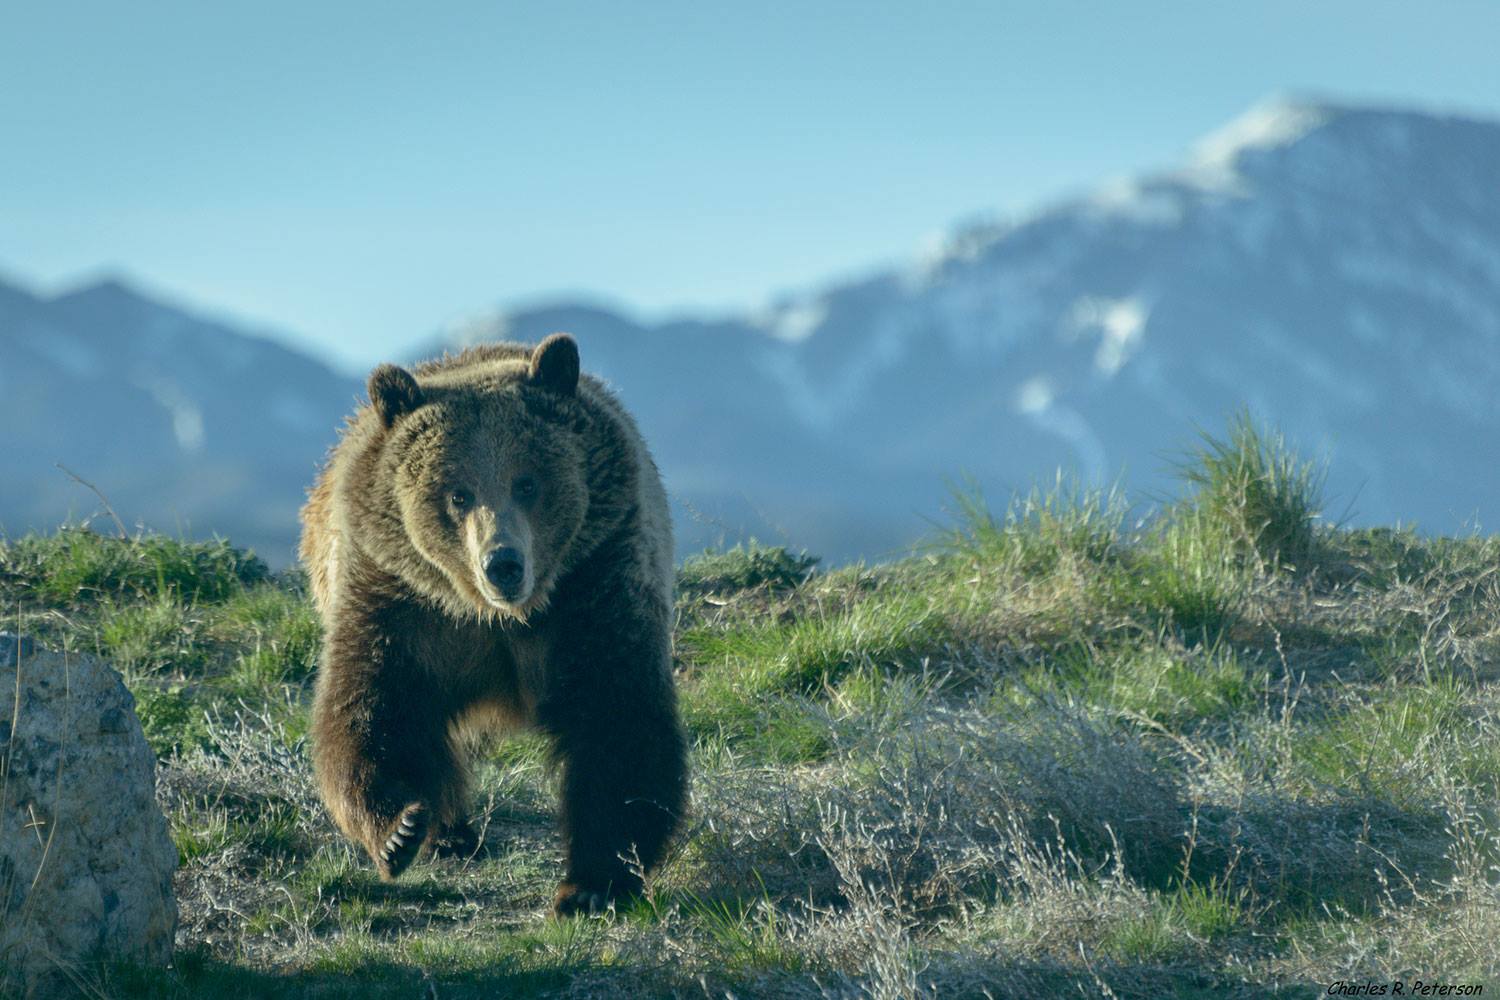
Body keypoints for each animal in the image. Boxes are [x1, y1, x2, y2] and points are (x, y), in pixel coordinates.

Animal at [301, 334, 687, 917]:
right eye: (456, 492)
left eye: (527, 482)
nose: (502, 563)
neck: (498, 617)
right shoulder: (401, 600)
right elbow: (372, 709)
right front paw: (399, 830)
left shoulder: (594, 581)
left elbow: (617, 717)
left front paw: (593, 882)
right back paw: (449, 834)